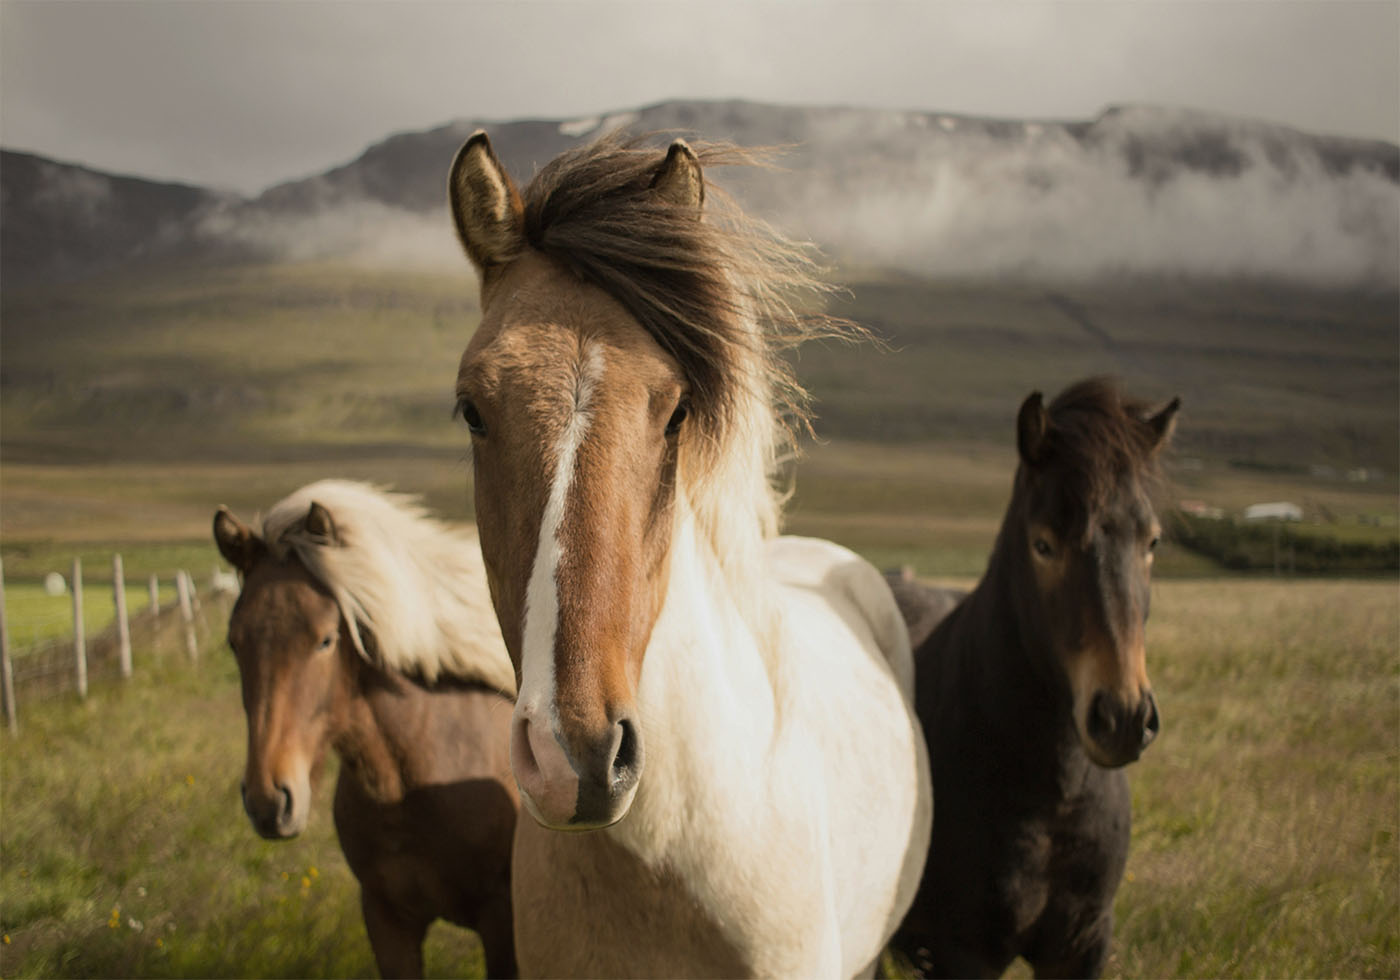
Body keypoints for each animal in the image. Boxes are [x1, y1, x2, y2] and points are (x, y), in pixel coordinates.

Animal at [889, 378, 1180, 979]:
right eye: (1043, 544)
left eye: (1152, 542)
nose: (1123, 717)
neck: (1053, 798)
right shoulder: (964, 954)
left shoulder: (1082, 944)